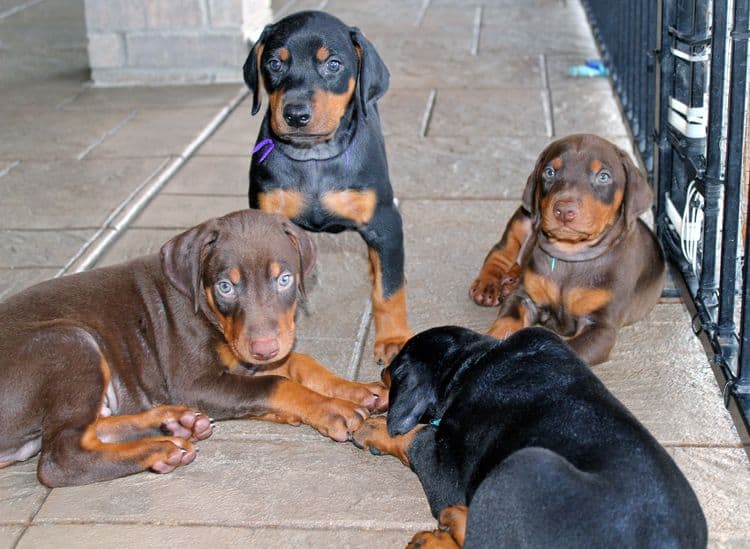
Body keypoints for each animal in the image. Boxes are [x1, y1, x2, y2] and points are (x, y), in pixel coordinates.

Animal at [0, 209, 388, 484]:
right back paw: (161, 447)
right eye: (225, 287)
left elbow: (298, 363)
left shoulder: (243, 355)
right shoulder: (195, 382)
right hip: (69, 343)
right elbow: (276, 383)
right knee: (61, 457)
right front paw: (331, 408)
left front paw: (358, 390)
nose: (264, 348)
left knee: (91, 428)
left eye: (285, 279)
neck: (203, 305)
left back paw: (174, 422)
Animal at [245, 10, 412, 364]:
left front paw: (393, 339)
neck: (314, 157)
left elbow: (389, 291)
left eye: (333, 64)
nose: (295, 114)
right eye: (274, 64)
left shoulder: (385, 222)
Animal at [352, 328, 704, 544]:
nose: (381, 374)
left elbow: (418, 434)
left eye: (392, 371)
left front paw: (373, 428)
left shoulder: (446, 477)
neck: (473, 363)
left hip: (529, 463)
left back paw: (447, 524)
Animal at [472, 133, 668, 364]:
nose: (564, 210)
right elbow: (506, 321)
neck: (570, 255)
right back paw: (489, 285)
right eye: (549, 172)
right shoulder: (524, 298)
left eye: (603, 176)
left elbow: (567, 350)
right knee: (501, 251)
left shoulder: (601, 326)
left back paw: (510, 279)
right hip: (523, 217)